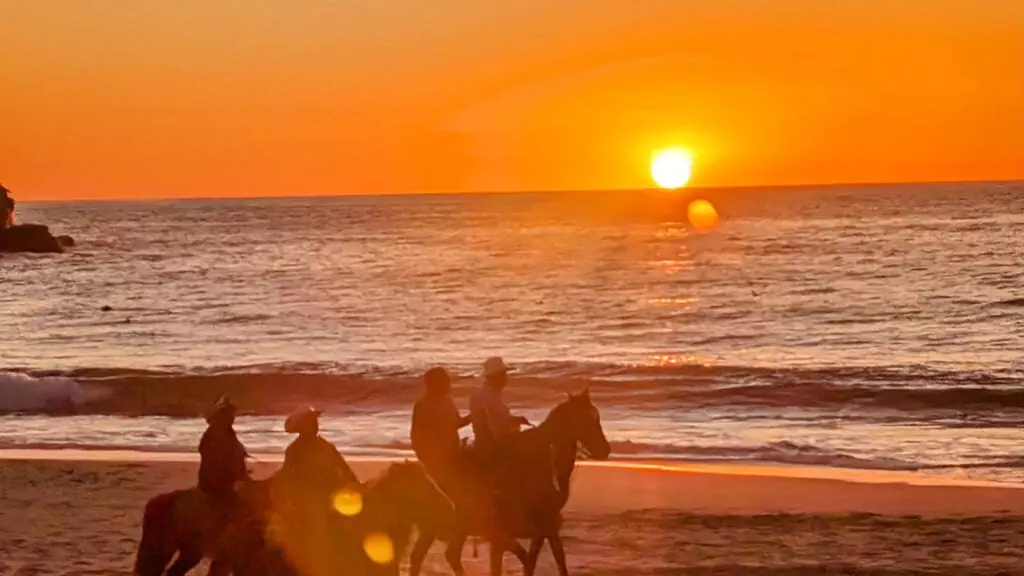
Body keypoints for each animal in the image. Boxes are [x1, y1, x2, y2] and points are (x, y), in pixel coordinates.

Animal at [407, 385, 610, 573]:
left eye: (597, 416)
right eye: (584, 419)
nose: (604, 450)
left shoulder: (546, 528)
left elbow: (553, 562)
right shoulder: (506, 534)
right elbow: (522, 561)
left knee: (439, 555)